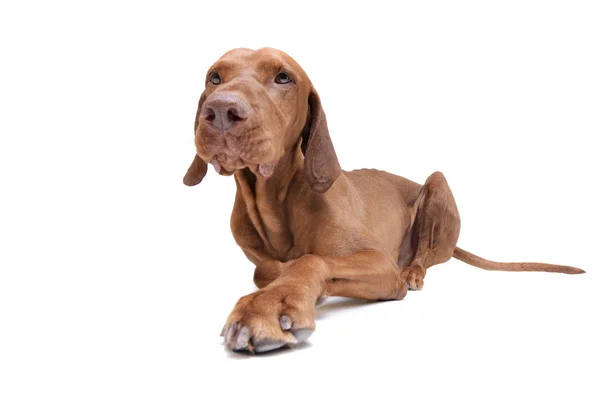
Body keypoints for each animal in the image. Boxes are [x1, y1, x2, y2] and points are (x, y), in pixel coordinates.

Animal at [184, 47, 584, 354]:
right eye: (214, 77)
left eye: (283, 77)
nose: (220, 111)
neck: (275, 201)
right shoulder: (262, 257)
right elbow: (266, 268)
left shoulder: (378, 263)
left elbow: (310, 260)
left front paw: (271, 305)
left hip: (436, 184)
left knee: (425, 254)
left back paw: (414, 271)